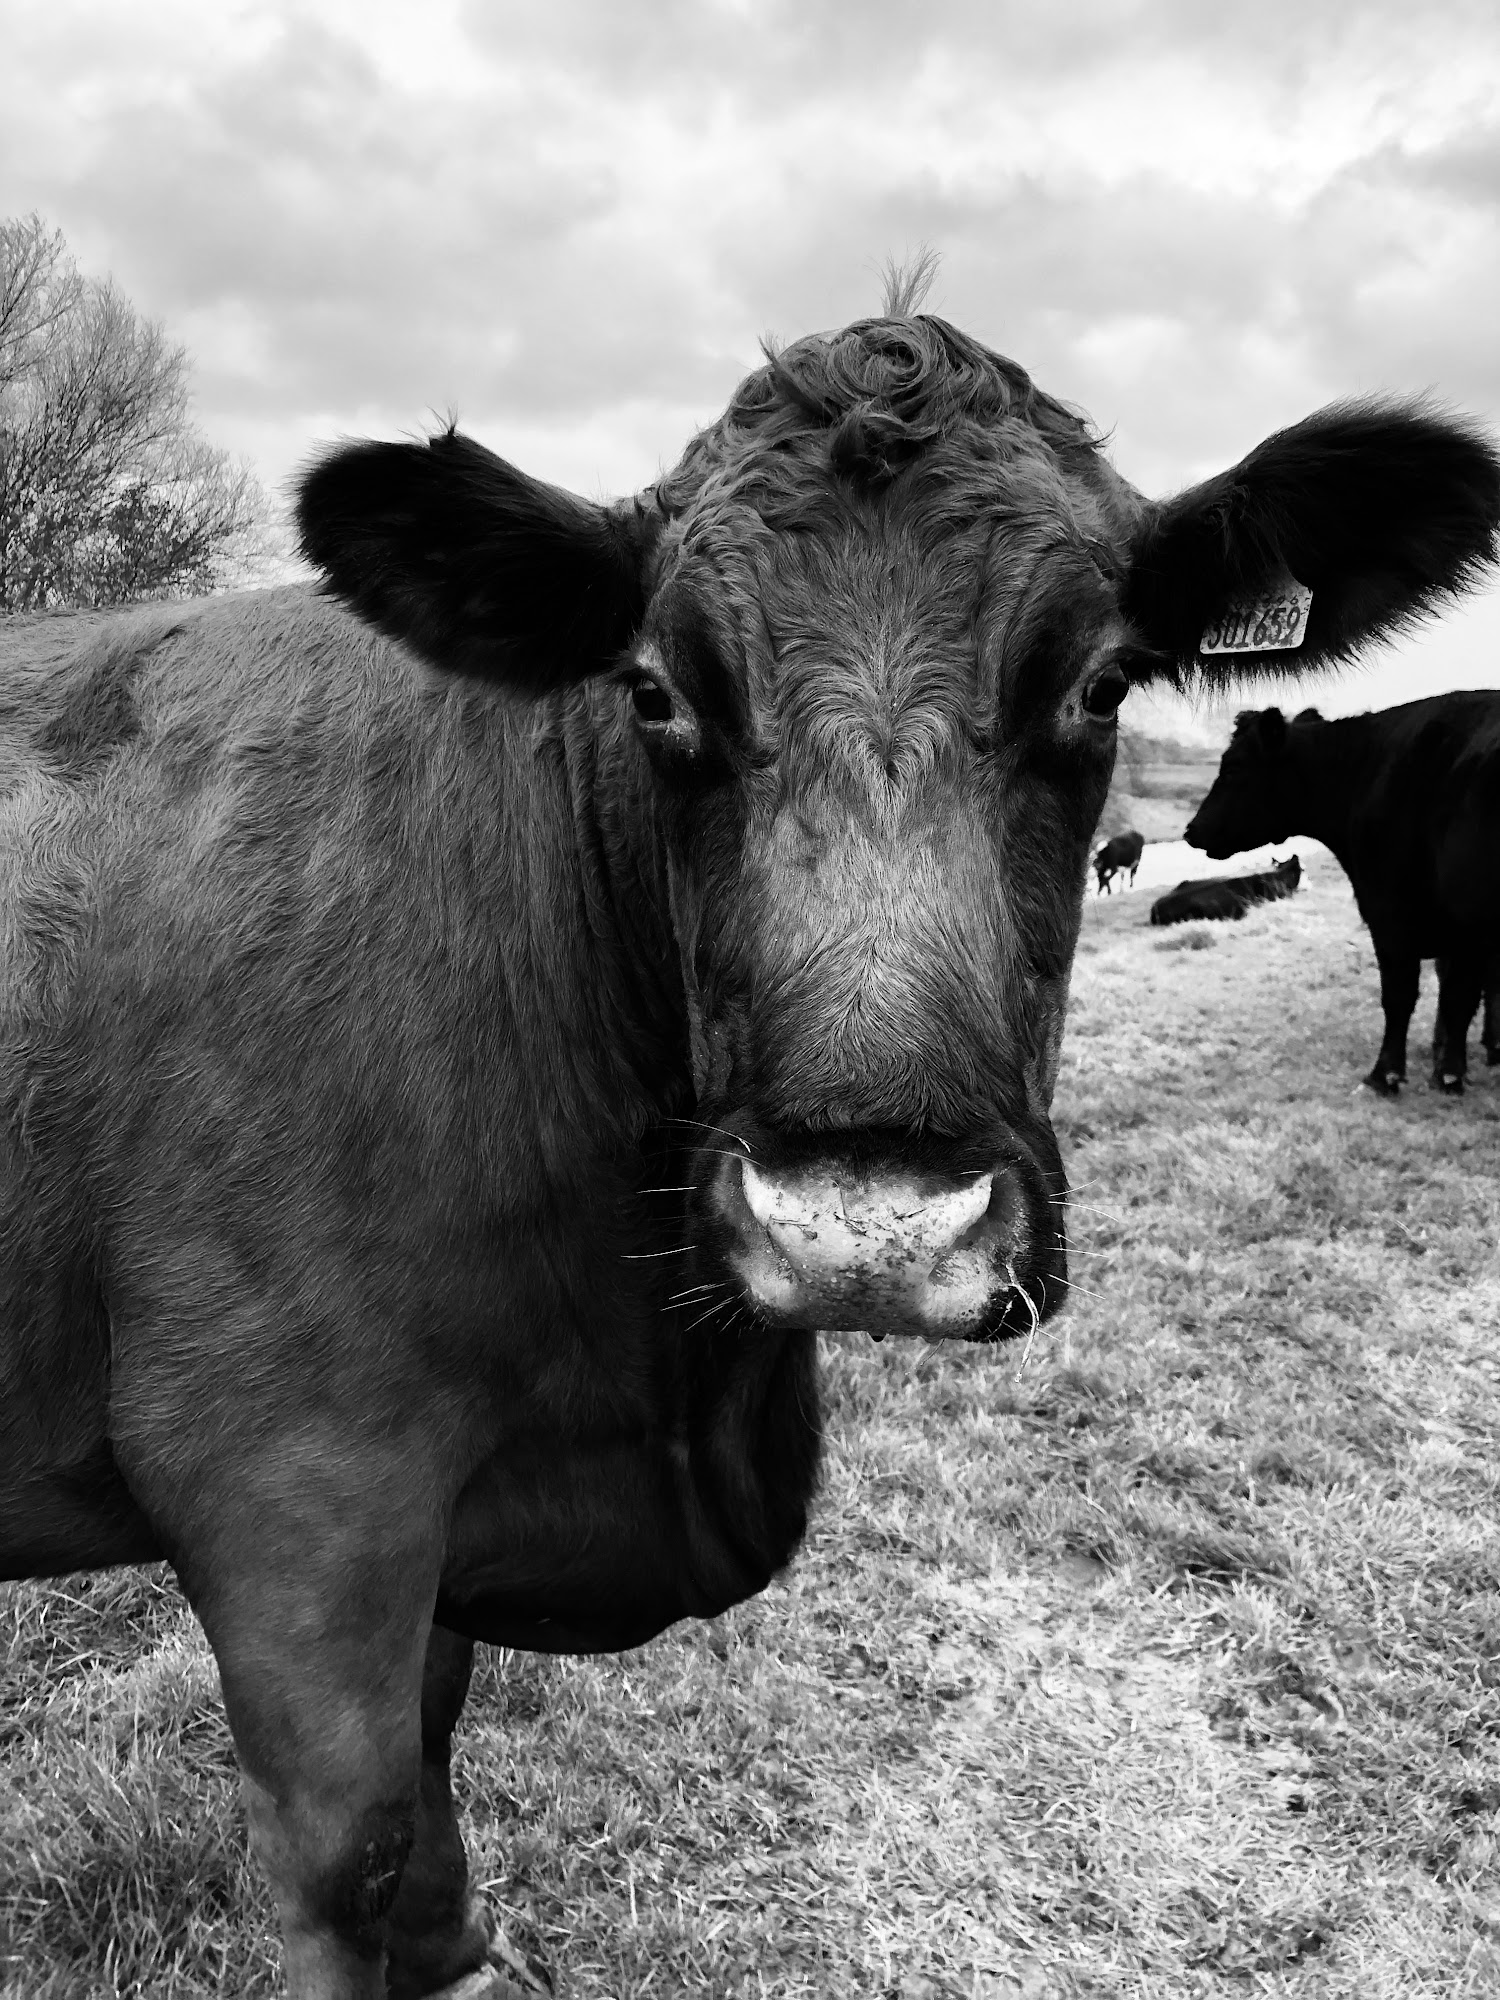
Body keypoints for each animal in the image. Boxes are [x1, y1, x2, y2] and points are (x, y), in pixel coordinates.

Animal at [1184, 692, 1500, 1096]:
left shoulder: (1392, 912)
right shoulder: (1462, 933)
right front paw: (1451, 1073)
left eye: (1235, 766)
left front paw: (1386, 1075)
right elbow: (1459, 1001)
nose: (1192, 830)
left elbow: (1403, 996)